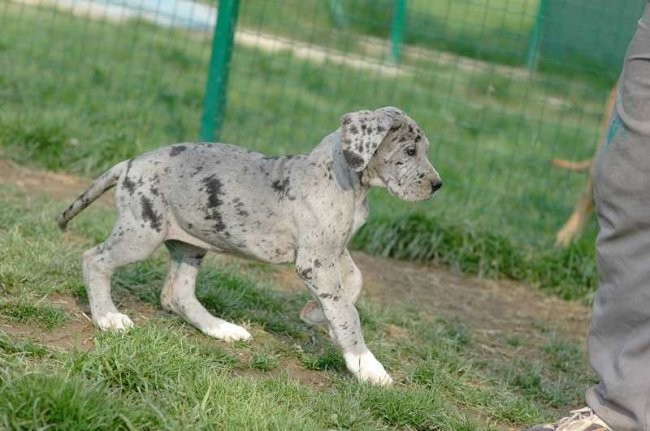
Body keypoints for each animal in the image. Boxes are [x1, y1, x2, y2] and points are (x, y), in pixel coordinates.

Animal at [57, 107, 440, 384]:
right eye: (409, 151)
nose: (438, 185)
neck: (346, 180)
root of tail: (129, 163)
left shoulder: (334, 250)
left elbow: (354, 284)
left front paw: (314, 314)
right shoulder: (315, 261)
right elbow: (348, 311)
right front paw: (366, 365)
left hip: (190, 244)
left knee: (176, 295)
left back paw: (221, 329)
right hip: (141, 233)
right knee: (95, 259)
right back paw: (107, 317)